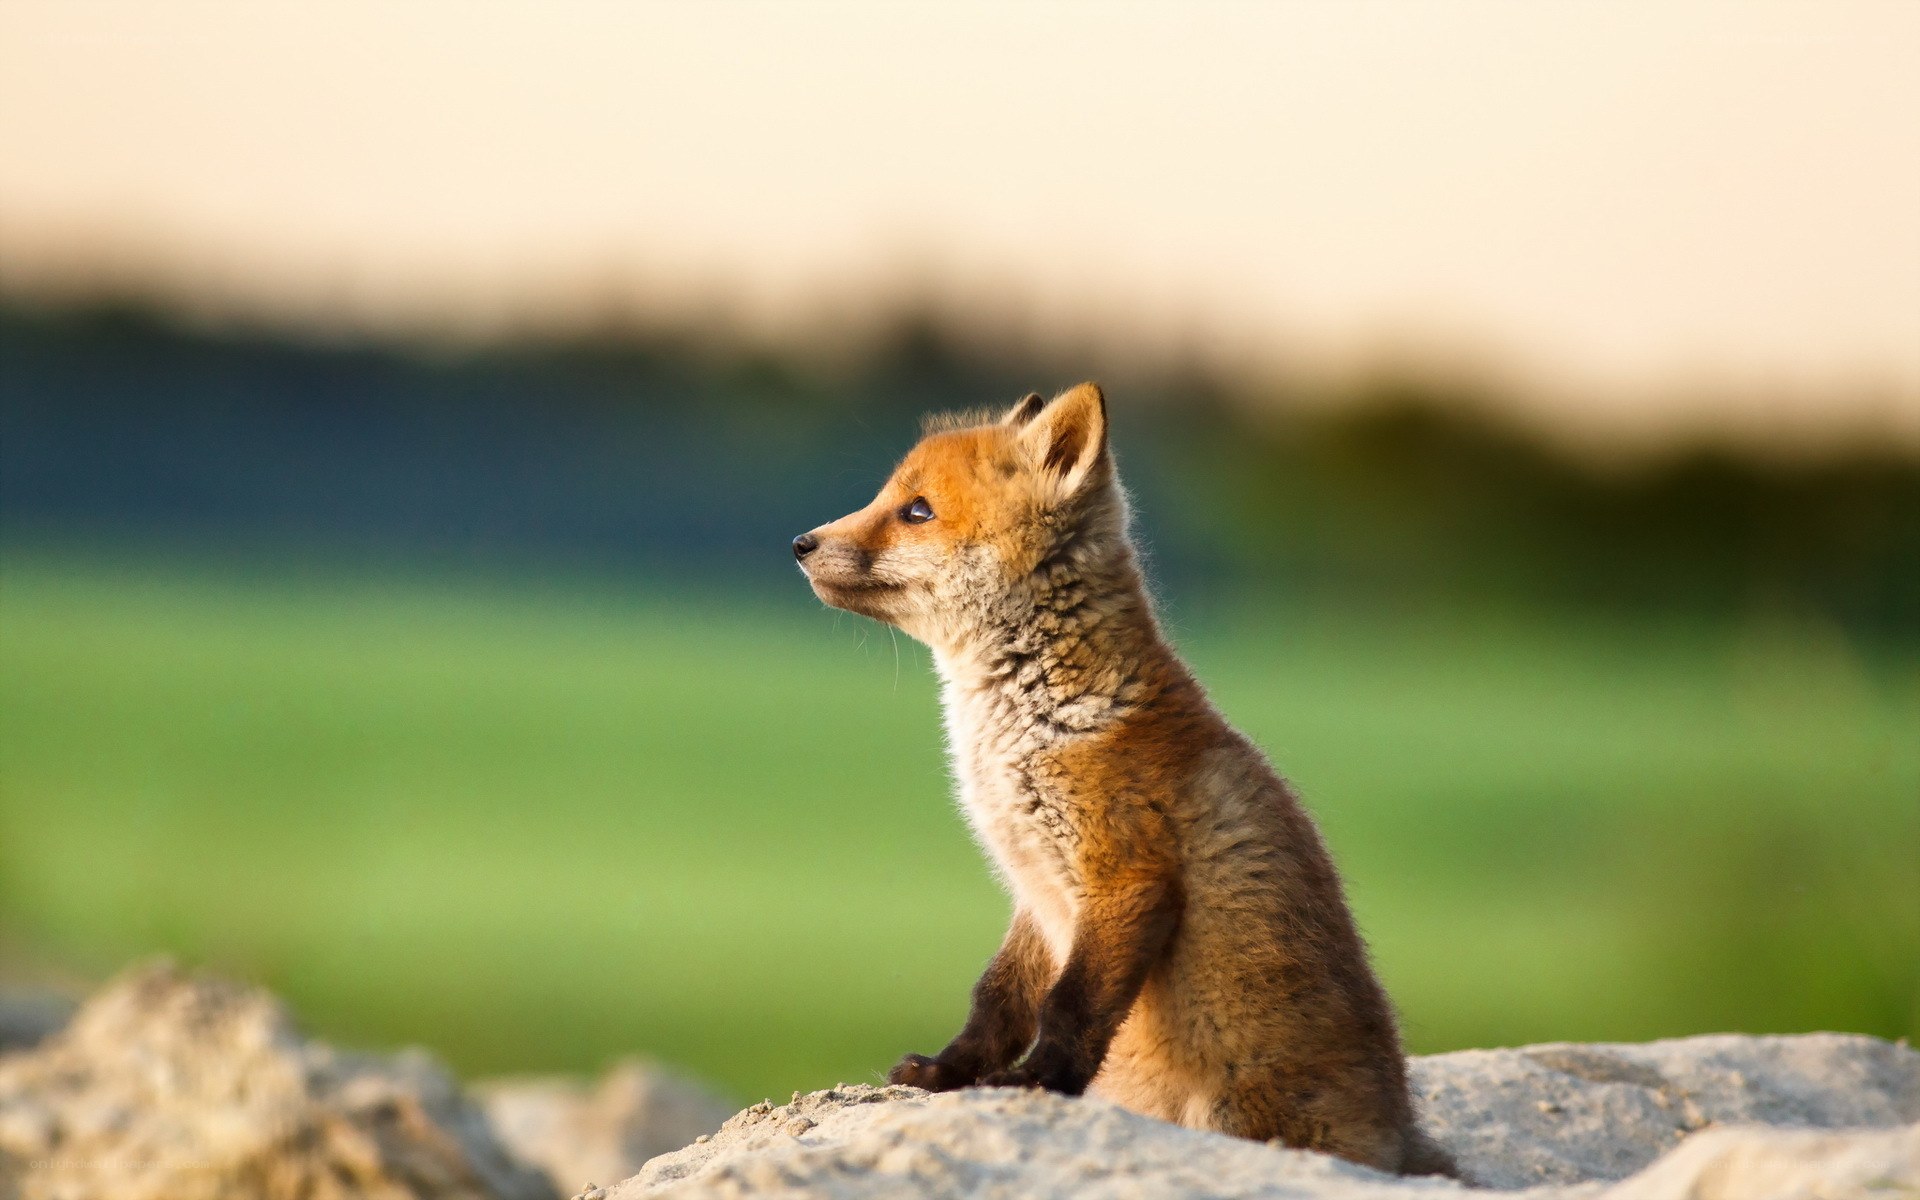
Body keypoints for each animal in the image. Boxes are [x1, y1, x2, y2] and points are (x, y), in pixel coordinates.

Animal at [791, 383, 1456, 1176]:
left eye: (916, 510)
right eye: (889, 497)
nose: (799, 544)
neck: (1031, 727)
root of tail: (1401, 1138)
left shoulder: (1126, 877)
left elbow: (1070, 1007)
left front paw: (1041, 1084)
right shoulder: (1035, 891)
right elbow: (996, 999)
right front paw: (949, 1074)